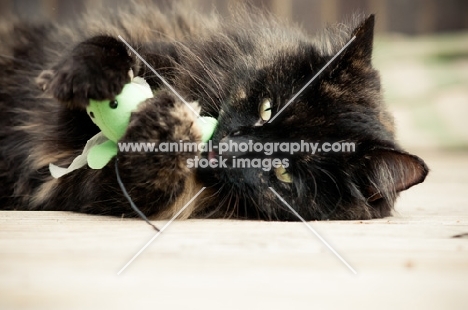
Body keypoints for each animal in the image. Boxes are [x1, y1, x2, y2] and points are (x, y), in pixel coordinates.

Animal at [0, 2, 428, 220]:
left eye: (284, 172)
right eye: (267, 109)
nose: (229, 148)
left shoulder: (92, 188)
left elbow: (142, 178)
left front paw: (165, 131)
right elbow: (112, 45)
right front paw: (82, 77)